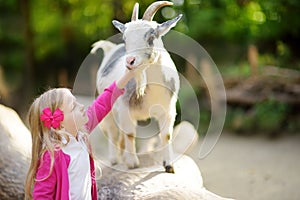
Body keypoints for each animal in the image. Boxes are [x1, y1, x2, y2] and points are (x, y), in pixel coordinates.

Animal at [92, 0, 180, 173]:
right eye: (125, 38)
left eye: (151, 36)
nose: (130, 61)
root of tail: (109, 48)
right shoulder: (125, 109)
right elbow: (130, 134)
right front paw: (132, 163)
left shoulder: (168, 110)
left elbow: (166, 135)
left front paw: (169, 165)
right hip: (110, 110)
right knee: (113, 132)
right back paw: (115, 159)